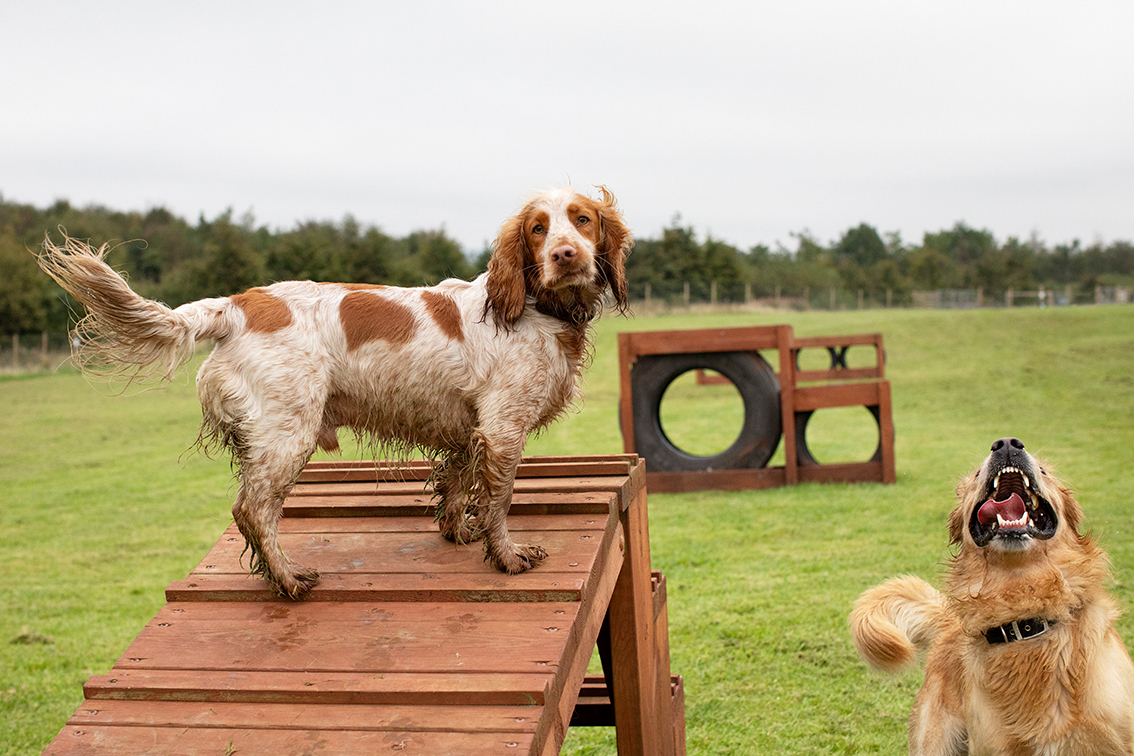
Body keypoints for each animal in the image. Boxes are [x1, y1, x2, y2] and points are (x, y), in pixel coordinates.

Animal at [37, 184, 630, 598]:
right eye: (537, 229)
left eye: (582, 219)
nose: (566, 255)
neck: (533, 306)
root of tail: (236, 305)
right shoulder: (504, 429)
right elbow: (500, 500)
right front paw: (507, 557)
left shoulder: (468, 428)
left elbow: (459, 486)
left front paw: (457, 531)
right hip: (287, 434)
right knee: (253, 510)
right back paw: (287, 580)